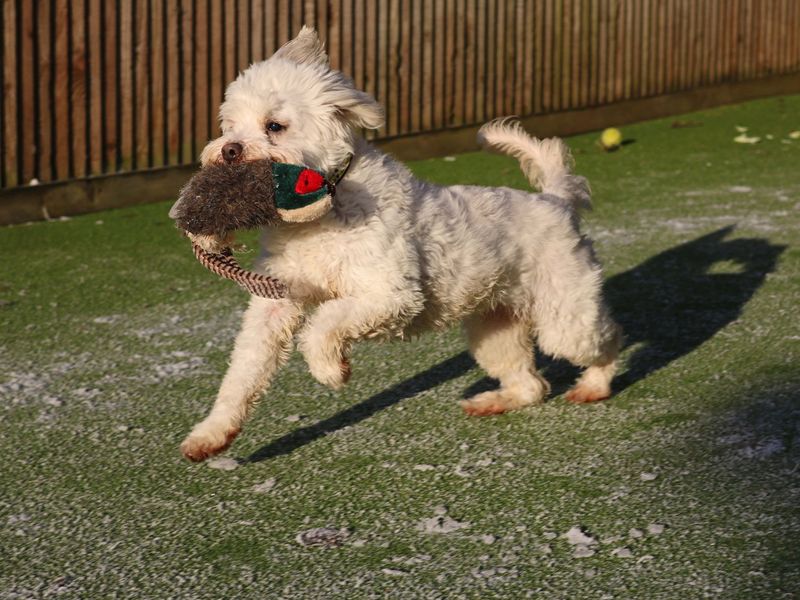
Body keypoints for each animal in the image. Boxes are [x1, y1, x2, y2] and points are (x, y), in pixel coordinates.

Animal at [180, 25, 620, 462]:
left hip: (565, 318)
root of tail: (555, 199)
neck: (321, 216)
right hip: (494, 329)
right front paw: (211, 435)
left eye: (274, 126)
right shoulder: (275, 305)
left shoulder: (392, 295)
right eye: (228, 125)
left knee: (609, 339)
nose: (229, 150)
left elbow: (324, 323)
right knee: (532, 386)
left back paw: (593, 387)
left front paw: (330, 369)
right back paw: (493, 401)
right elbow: (243, 373)